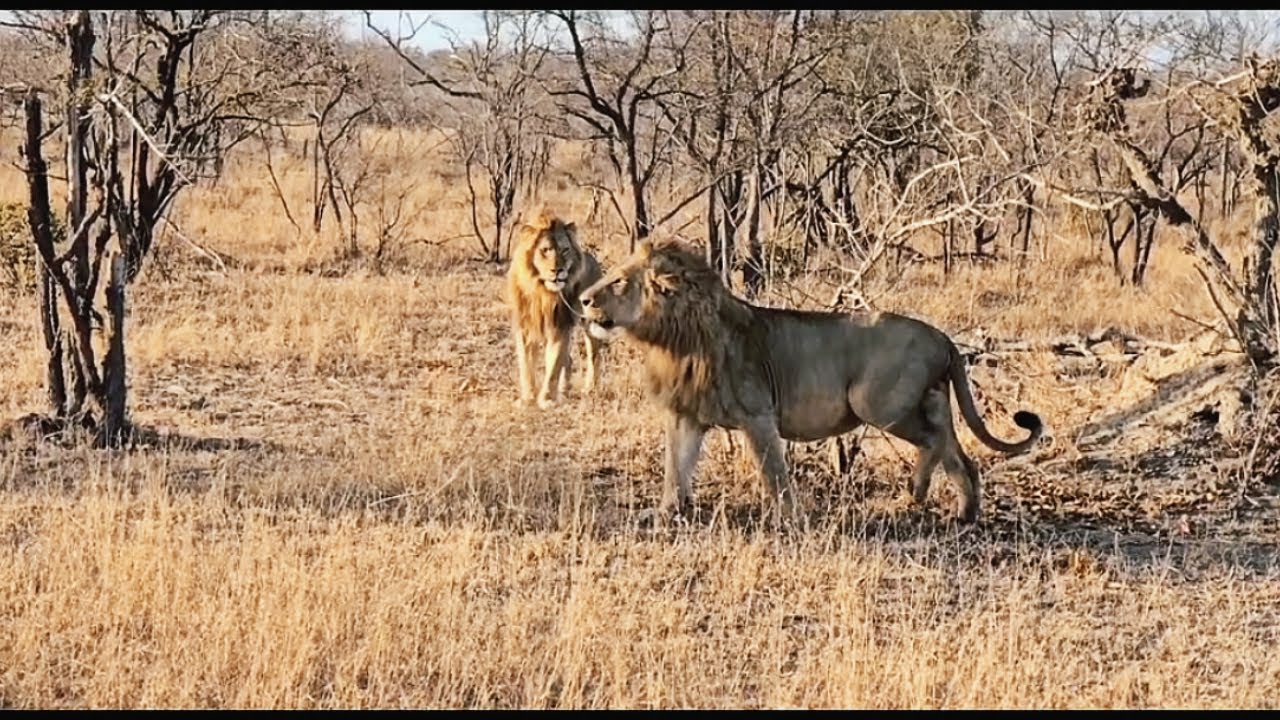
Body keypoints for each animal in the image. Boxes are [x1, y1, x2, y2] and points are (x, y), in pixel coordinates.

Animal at [506, 210, 607, 409]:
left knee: (594, 355)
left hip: (590, 321)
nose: (557, 270)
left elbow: (553, 366)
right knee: (569, 360)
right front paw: (527, 399)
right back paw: (564, 390)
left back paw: (590, 388)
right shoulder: (524, 328)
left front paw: (546, 400)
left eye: (565, 250)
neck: (542, 291)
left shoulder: (560, 327)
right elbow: (526, 367)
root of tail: (592, 259)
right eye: (545, 250)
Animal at [578, 239, 1043, 523]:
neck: (673, 338)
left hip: (876, 403)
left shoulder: (758, 414)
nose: (582, 300)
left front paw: (789, 518)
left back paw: (914, 491)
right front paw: (665, 512)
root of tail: (942, 337)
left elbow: (773, 472)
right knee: (958, 454)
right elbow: (676, 467)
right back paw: (964, 513)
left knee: (932, 442)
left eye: (617, 282)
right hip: (932, 401)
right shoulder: (687, 415)